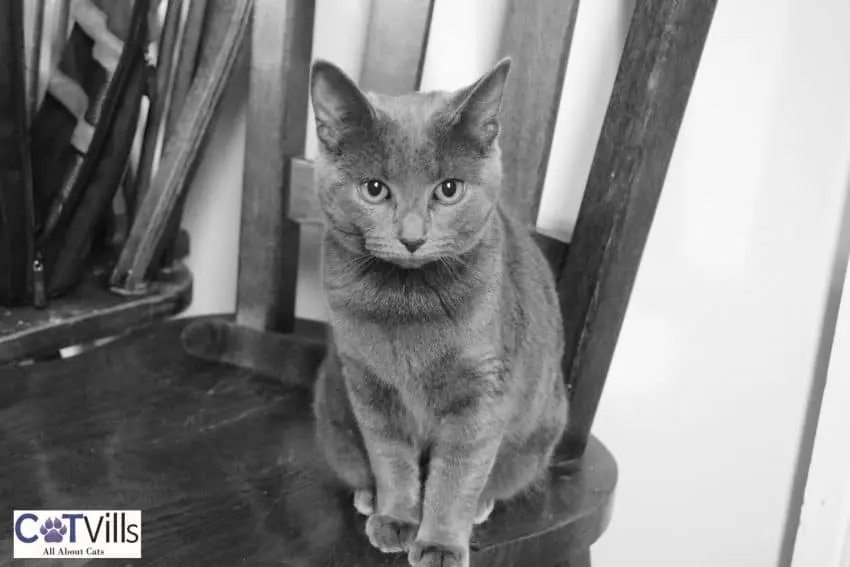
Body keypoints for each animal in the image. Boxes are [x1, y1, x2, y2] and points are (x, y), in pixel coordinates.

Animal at [308, 56, 568, 567]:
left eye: (449, 190)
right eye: (374, 189)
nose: (412, 237)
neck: (407, 304)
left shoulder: (481, 391)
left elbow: (456, 475)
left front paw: (441, 544)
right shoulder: (368, 386)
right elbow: (391, 459)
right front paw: (395, 519)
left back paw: (483, 503)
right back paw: (368, 497)